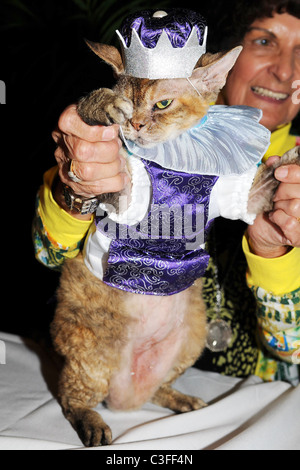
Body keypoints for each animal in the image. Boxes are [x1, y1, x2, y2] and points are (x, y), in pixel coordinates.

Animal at [51, 39, 300, 444]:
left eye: (162, 104)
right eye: (129, 101)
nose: (136, 124)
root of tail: (124, 394)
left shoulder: (245, 196)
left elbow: (272, 175)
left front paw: (296, 157)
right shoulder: (119, 194)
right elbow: (92, 111)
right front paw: (106, 106)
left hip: (192, 338)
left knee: (156, 389)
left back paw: (184, 401)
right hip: (89, 356)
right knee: (71, 397)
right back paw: (94, 424)